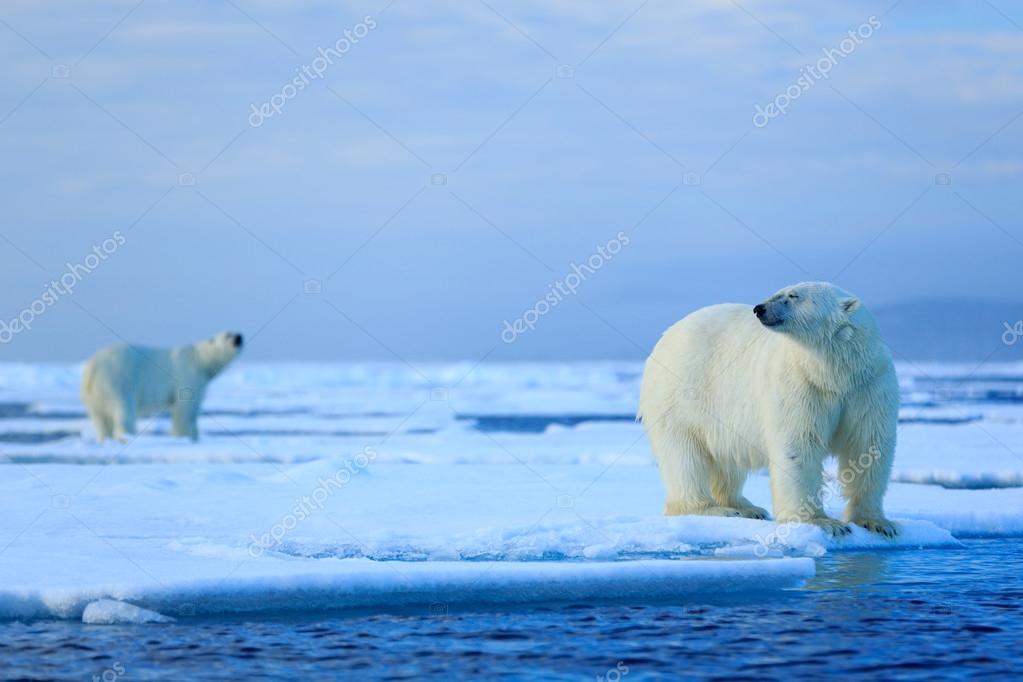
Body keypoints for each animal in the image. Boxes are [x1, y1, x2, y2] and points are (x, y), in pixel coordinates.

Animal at [81, 331, 243, 443]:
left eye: (235, 332)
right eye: (228, 335)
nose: (239, 337)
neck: (200, 361)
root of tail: (92, 367)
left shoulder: (200, 382)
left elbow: (194, 411)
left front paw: (195, 437)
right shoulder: (187, 375)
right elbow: (184, 410)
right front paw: (183, 437)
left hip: (94, 394)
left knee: (100, 418)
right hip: (118, 380)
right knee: (124, 412)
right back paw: (127, 436)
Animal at [638, 282, 898, 537]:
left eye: (793, 295)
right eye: (779, 291)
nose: (759, 309)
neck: (834, 373)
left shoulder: (869, 385)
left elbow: (867, 445)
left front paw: (876, 522)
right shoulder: (800, 382)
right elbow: (799, 445)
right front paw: (822, 522)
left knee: (726, 461)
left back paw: (746, 507)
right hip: (680, 395)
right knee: (684, 456)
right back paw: (712, 509)